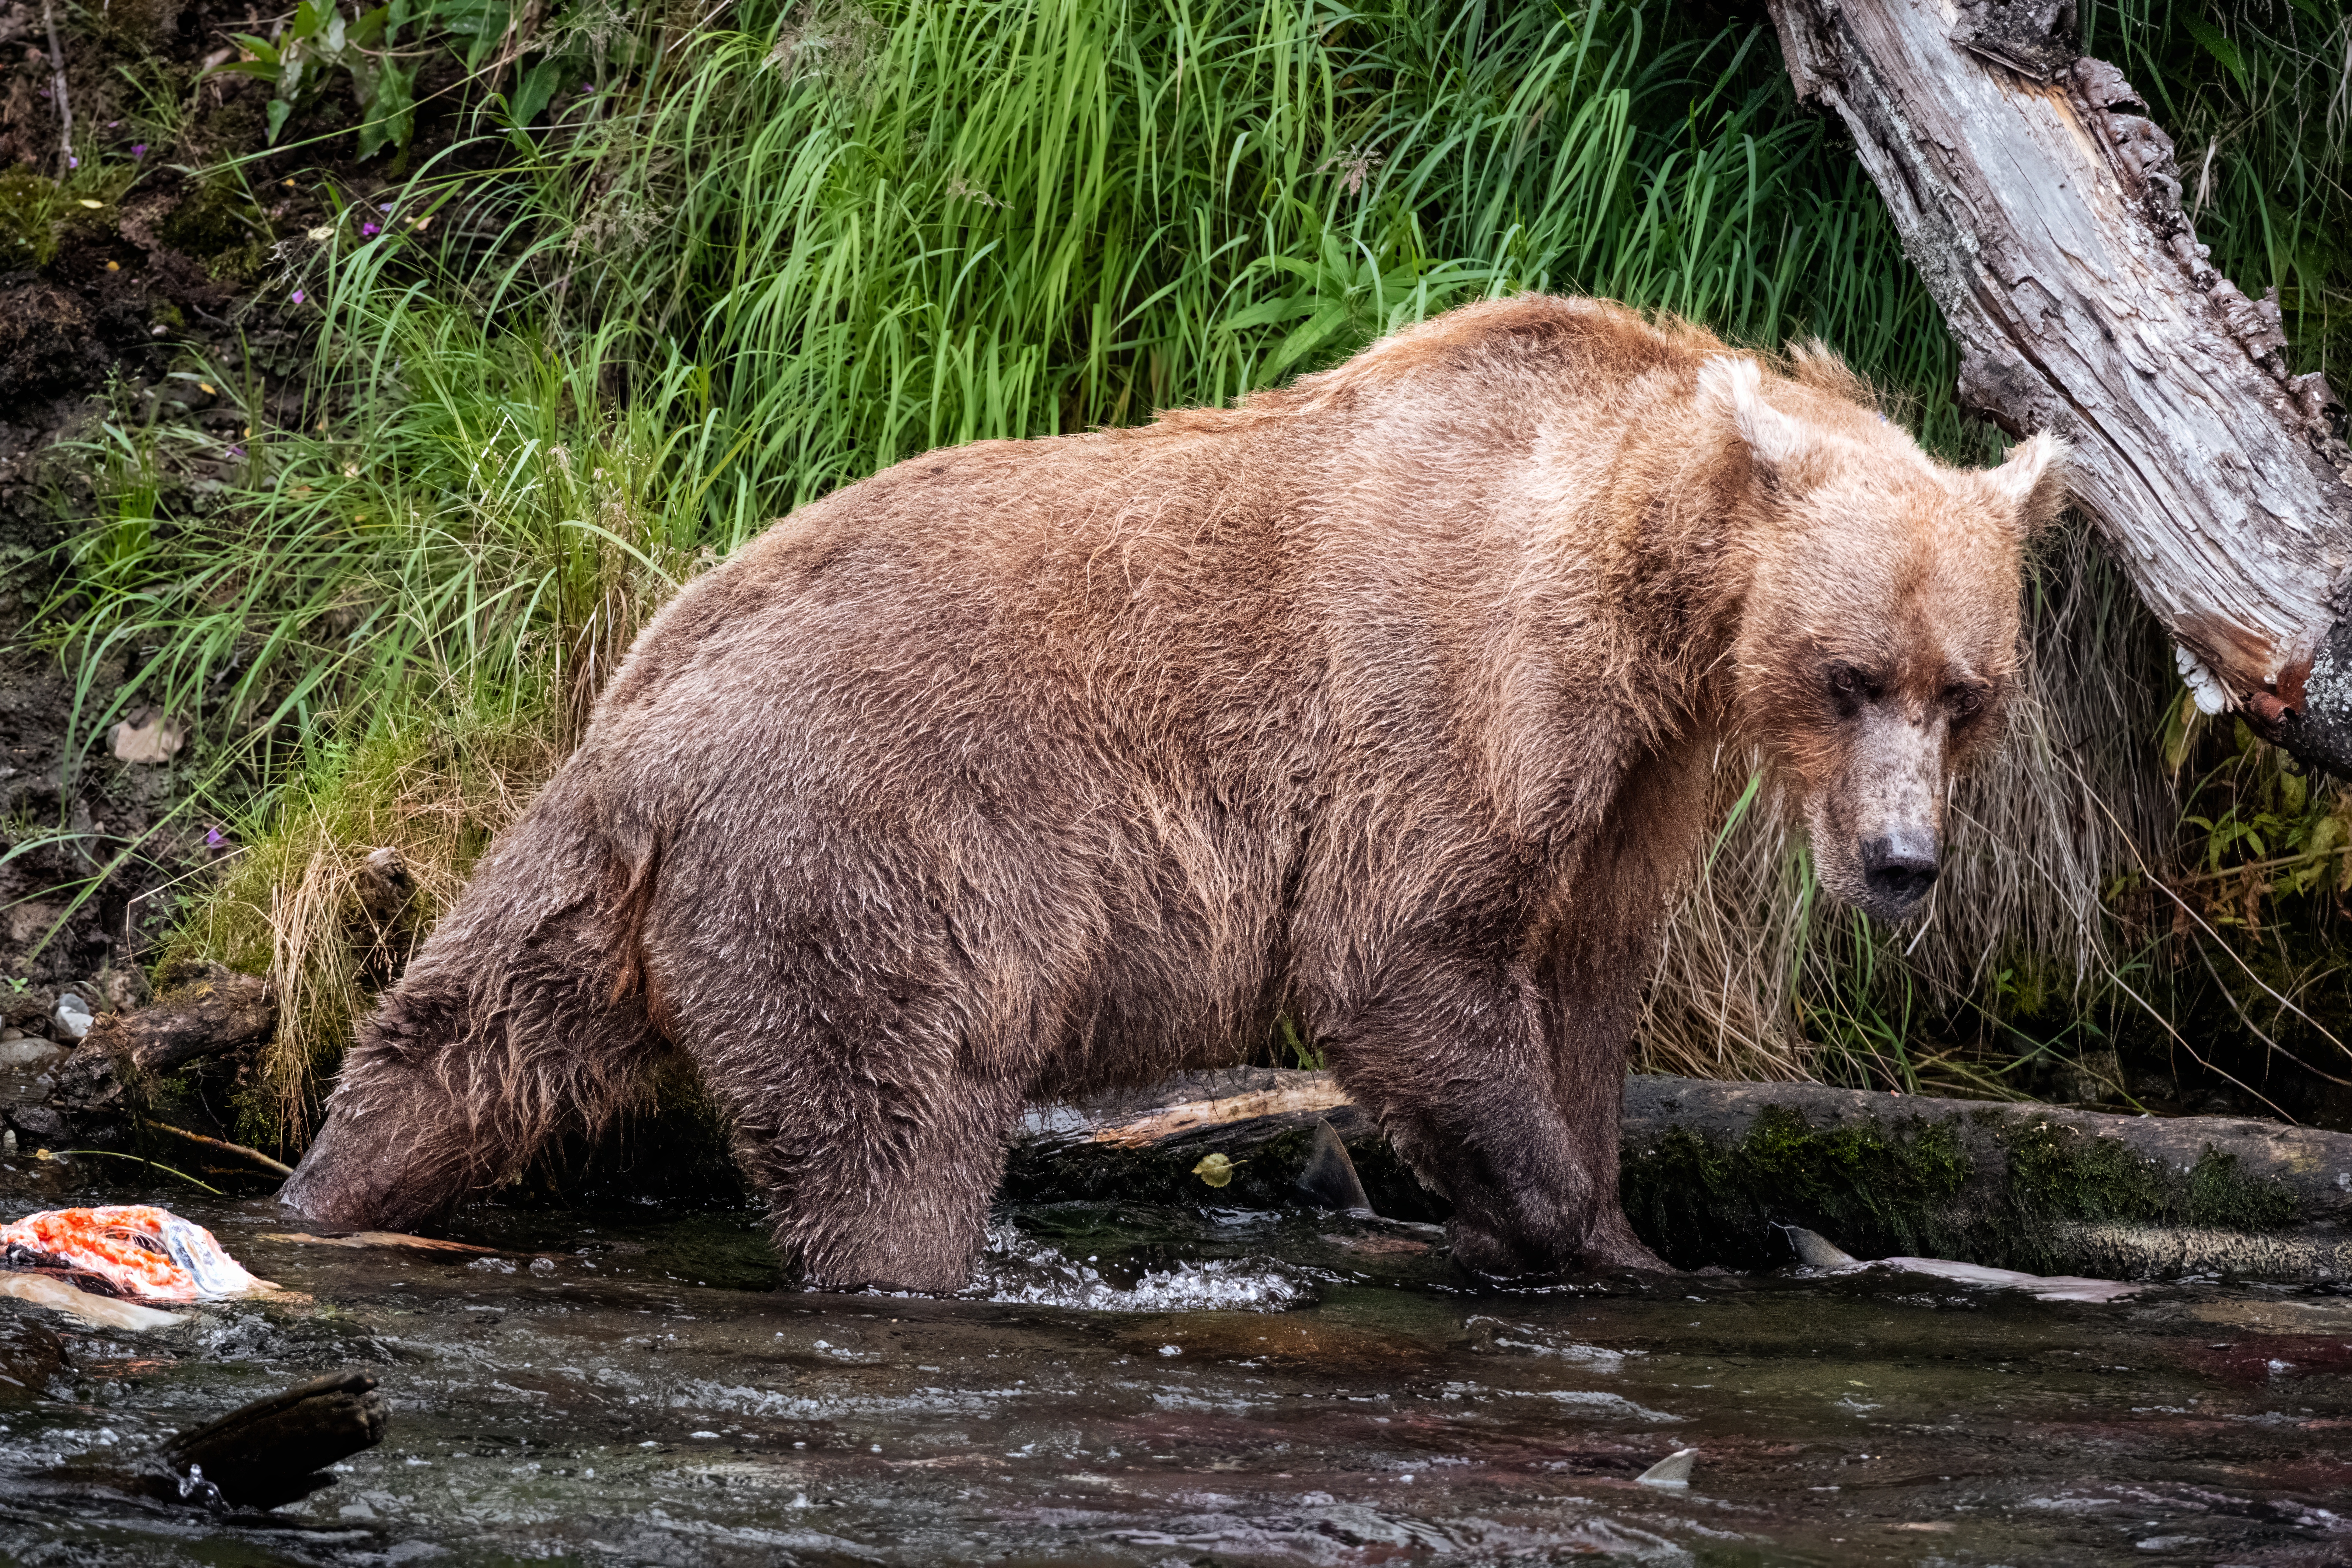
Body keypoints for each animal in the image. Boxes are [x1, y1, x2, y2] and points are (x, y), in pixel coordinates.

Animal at [278, 296, 2066, 1288]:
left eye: (1966, 693)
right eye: (1850, 675)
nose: (1902, 863)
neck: (1652, 593)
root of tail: (639, 736)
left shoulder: (1635, 783)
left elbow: (1578, 987)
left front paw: (1591, 1210)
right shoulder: (1467, 691)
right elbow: (1402, 952)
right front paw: (1592, 1237)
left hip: (591, 876)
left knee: (461, 1040)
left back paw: (321, 1197)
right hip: (864, 873)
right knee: (889, 1140)